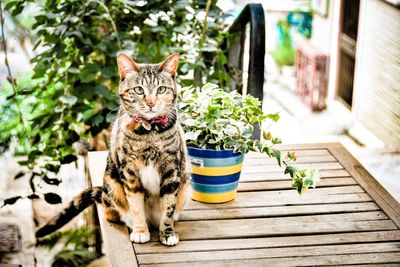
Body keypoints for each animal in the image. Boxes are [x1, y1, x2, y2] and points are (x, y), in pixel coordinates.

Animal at [36, 54, 191, 247]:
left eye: (161, 89)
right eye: (139, 90)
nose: (151, 103)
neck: (150, 133)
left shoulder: (172, 171)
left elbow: (168, 207)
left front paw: (167, 233)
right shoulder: (130, 173)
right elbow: (136, 206)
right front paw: (140, 231)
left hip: (186, 185)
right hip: (111, 182)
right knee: (111, 209)